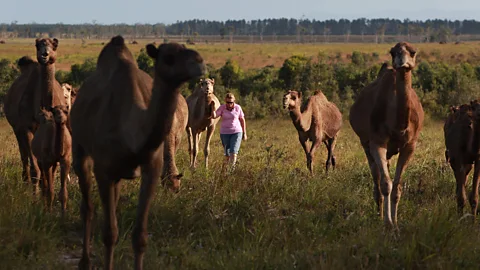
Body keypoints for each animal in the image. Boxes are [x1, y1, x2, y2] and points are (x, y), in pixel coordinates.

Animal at [70, 34, 205, 268]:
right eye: (168, 57)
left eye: (188, 48)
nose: (199, 62)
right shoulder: (103, 170)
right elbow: (109, 233)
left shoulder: (151, 168)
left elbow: (140, 237)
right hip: (80, 148)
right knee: (87, 207)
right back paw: (84, 262)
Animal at [348, 42, 424, 228]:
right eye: (392, 52)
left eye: (413, 52)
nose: (401, 61)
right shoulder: (377, 142)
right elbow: (385, 184)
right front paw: (388, 224)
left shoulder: (410, 145)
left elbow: (397, 185)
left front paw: (395, 222)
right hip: (365, 143)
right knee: (376, 177)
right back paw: (379, 213)